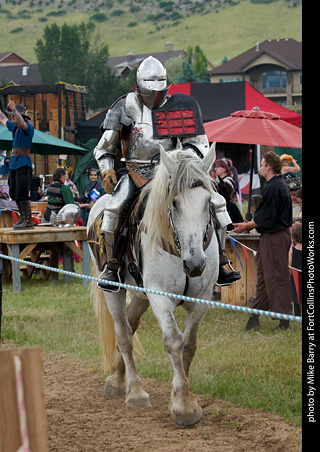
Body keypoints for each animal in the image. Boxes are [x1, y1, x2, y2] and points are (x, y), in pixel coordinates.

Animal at [89, 143, 220, 426]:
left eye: (208, 202)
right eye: (174, 202)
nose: (195, 263)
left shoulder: (202, 299)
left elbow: (189, 345)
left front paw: (182, 396)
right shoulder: (160, 296)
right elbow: (174, 341)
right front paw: (183, 405)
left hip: (141, 294)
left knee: (131, 323)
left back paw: (117, 377)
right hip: (114, 290)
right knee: (124, 333)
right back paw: (135, 391)